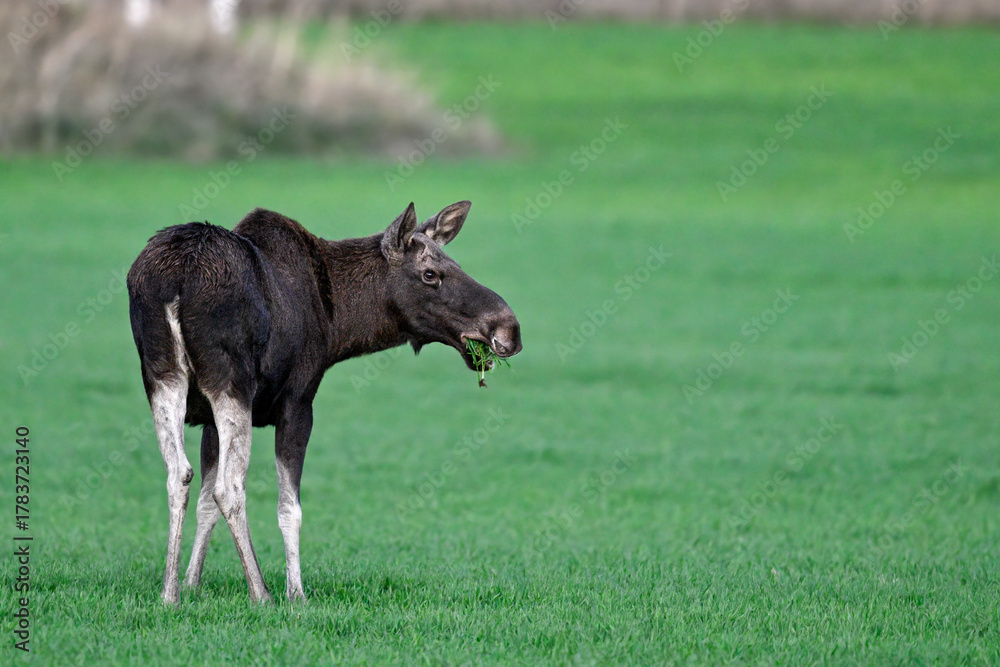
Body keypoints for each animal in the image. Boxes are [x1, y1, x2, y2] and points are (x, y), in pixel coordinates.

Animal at [126, 201, 522, 604]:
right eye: (430, 274)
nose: (509, 329)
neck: (338, 327)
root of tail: (176, 281)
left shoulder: (207, 417)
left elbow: (205, 502)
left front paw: (191, 583)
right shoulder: (298, 402)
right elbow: (289, 508)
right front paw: (296, 594)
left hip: (162, 376)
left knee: (179, 474)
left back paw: (169, 593)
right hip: (231, 381)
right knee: (229, 487)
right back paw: (261, 593)